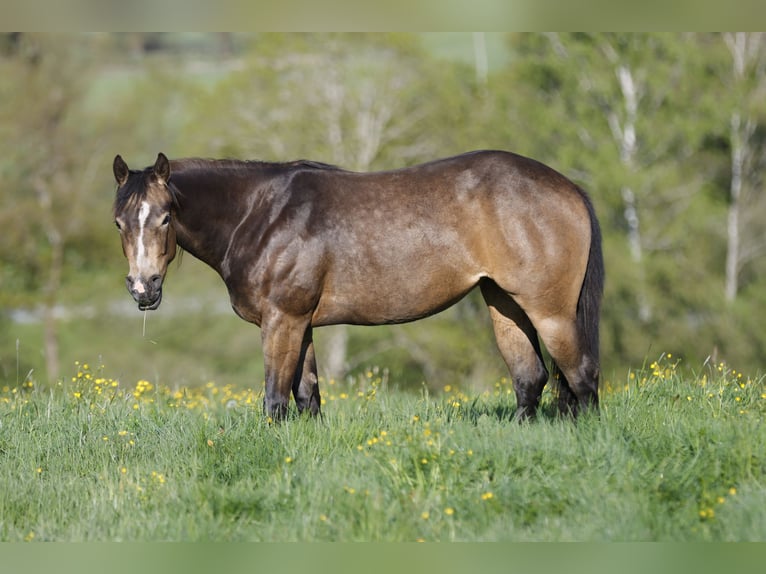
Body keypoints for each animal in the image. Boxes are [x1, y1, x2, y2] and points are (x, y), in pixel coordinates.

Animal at [112, 150, 604, 420]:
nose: (143, 289)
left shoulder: (281, 320)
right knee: (530, 379)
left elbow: (275, 399)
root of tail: (569, 188)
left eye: (165, 217)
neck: (261, 213)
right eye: (118, 222)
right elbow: (307, 397)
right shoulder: (301, 324)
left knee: (582, 378)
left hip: (550, 312)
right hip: (504, 303)